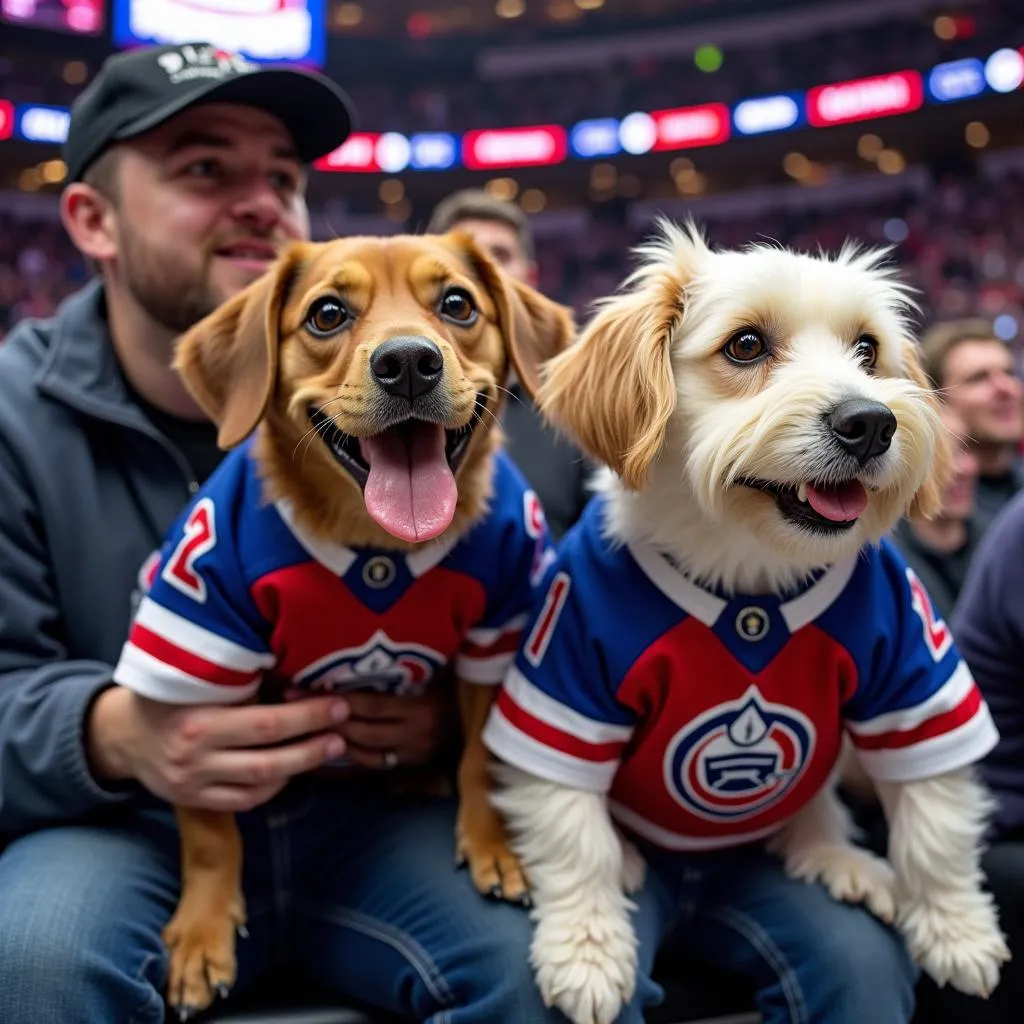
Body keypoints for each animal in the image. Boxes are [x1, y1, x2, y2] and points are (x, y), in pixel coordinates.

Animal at [112, 234, 577, 1015]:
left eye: (458, 304)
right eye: (327, 314)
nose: (410, 361)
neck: (379, 545)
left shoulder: (498, 635)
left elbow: (482, 762)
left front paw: (492, 845)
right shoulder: (202, 648)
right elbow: (207, 829)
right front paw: (203, 928)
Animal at [479, 222, 1007, 1024]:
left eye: (868, 350)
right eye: (747, 345)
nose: (871, 421)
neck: (749, 575)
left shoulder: (916, 674)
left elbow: (933, 816)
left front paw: (957, 929)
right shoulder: (562, 682)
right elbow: (574, 832)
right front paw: (588, 950)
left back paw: (832, 853)